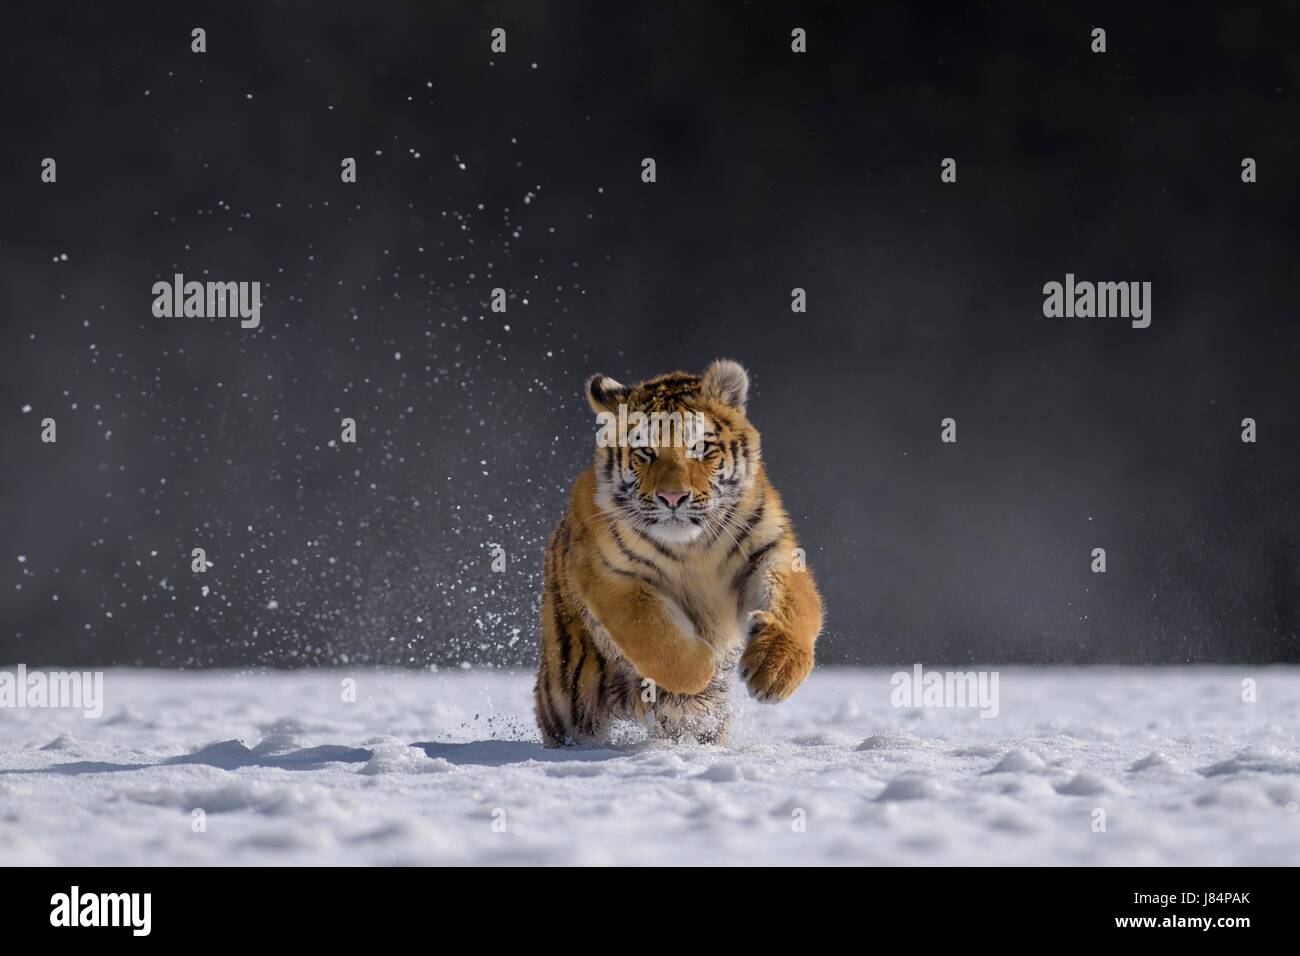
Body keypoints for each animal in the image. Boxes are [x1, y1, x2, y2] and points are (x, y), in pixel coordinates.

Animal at [535, 358, 821, 749]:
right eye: (645, 452)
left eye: (700, 448)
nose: (673, 497)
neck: (693, 547)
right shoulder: (610, 577)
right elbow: (654, 634)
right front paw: (703, 666)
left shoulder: (769, 551)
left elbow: (796, 605)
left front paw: (775, 669)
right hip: (566, 696)